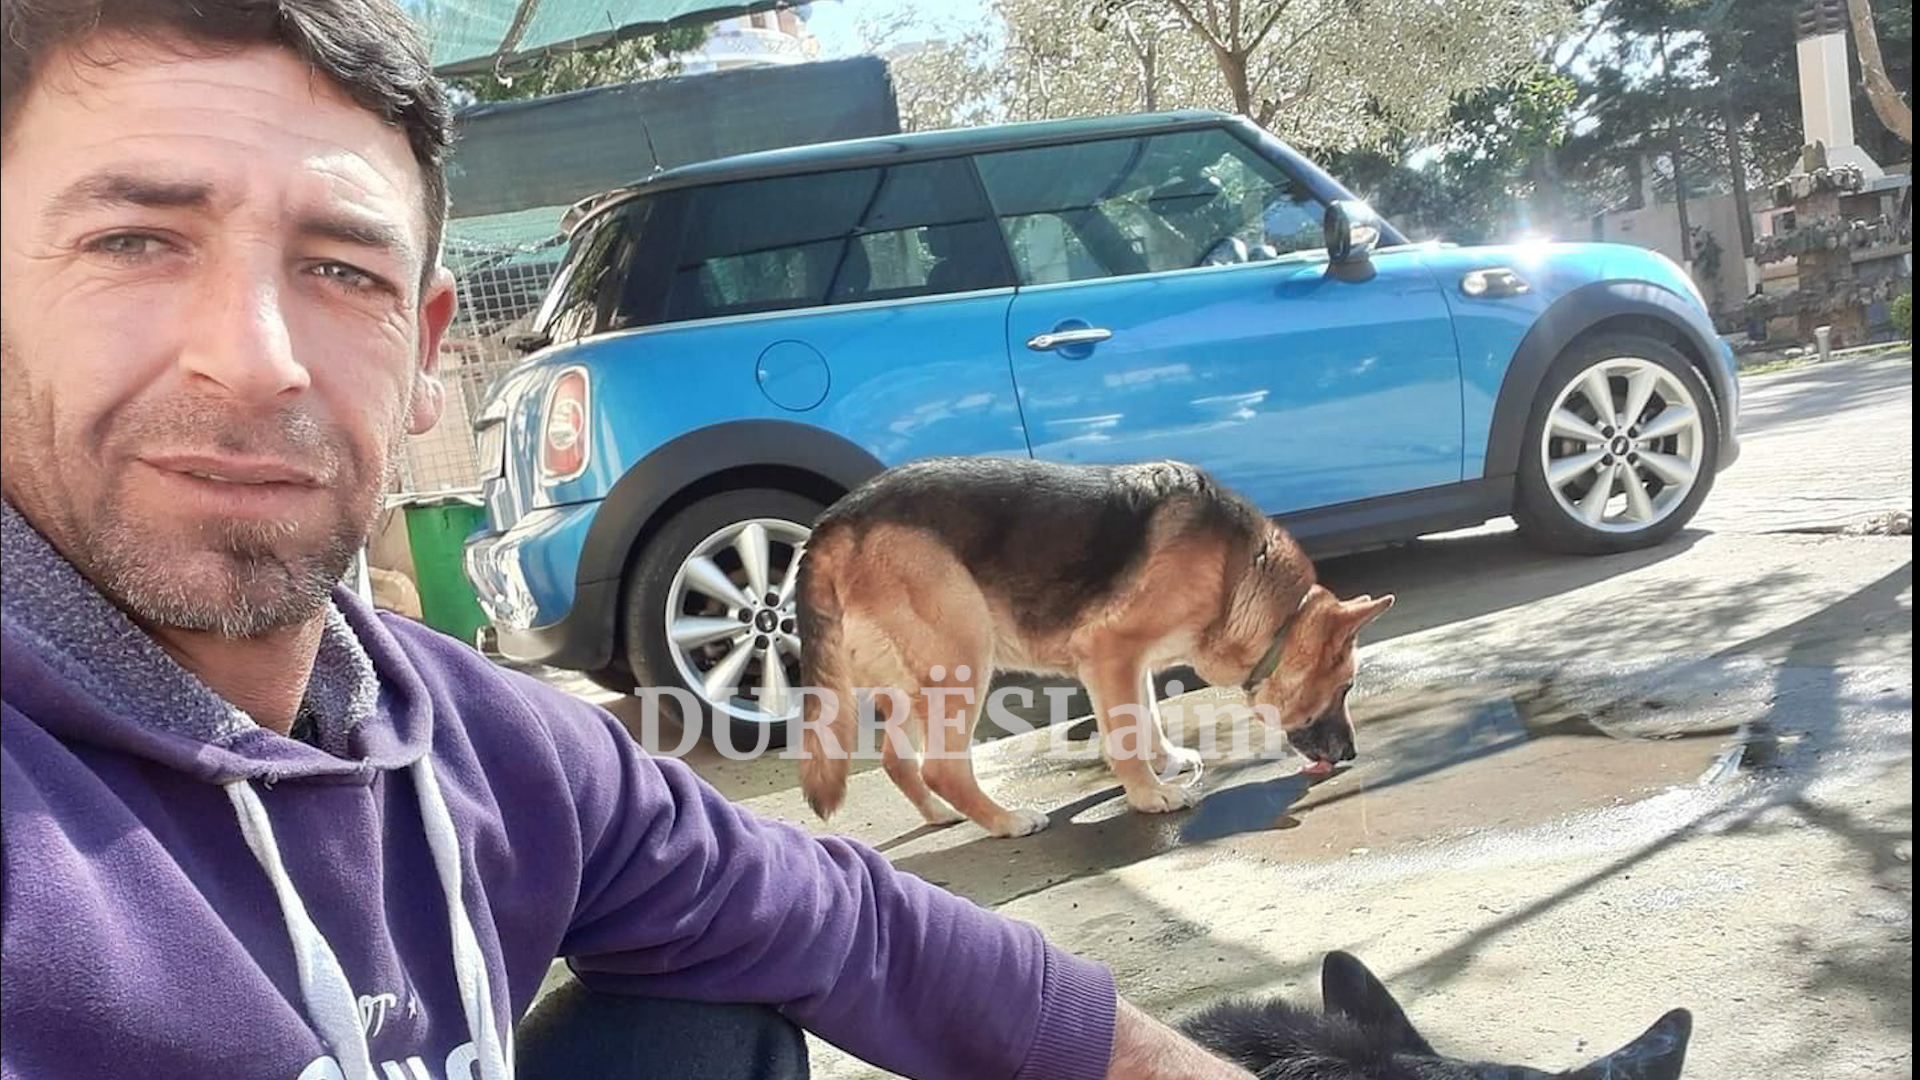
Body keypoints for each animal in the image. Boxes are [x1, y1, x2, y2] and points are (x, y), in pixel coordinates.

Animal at [795, 456, 1393, 838]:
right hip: (964, 659)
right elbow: (1125, 736)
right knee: (940, 766)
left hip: (906, 681)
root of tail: (834, 522)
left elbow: (1146, 716)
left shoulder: (1133, 664)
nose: (1352, 754)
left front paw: (1165, 762)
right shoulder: (1111, 652)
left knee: (899, 759)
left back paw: (942, 815)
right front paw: (1150, 797)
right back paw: (1007, 821)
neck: (1241, 578)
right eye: (1346, 687)